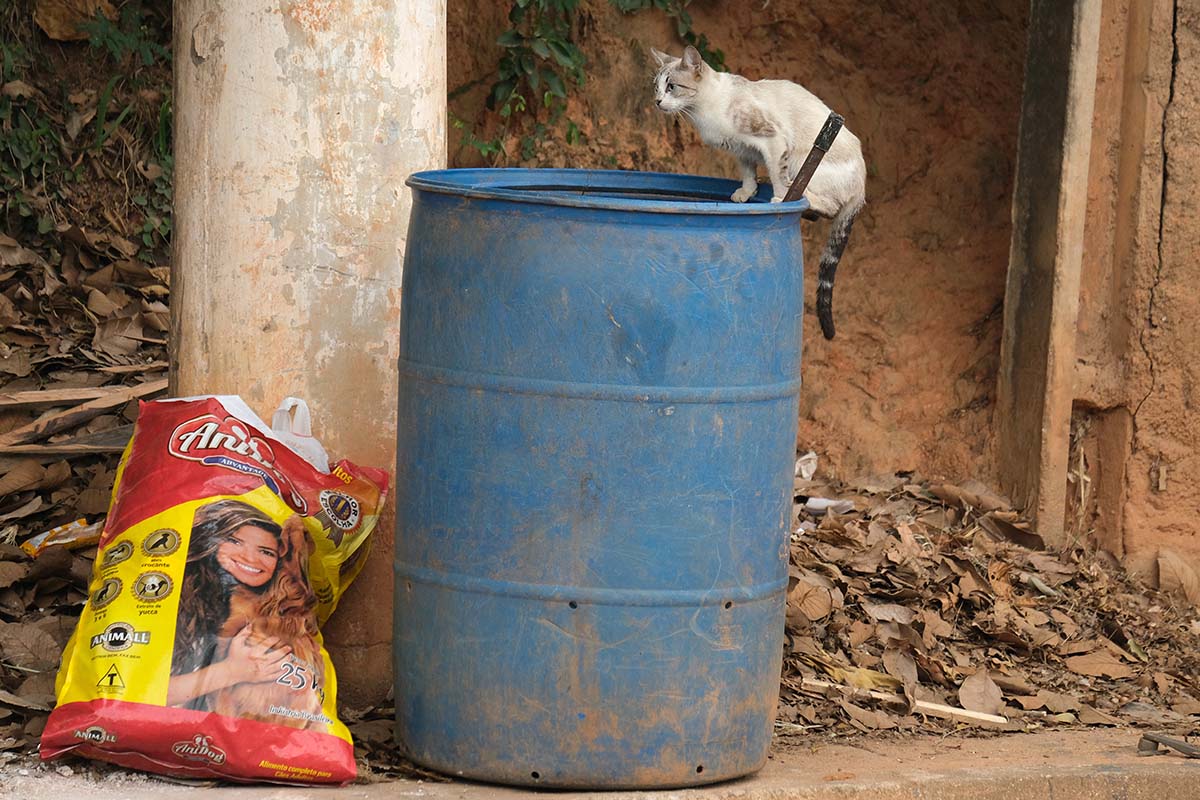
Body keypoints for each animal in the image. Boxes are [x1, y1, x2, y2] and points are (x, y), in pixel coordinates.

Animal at [652, 46, 868, 340]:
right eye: (655, 87)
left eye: (672, 87)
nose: (657, 101)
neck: (702, 114)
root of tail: (863, 185)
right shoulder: (742, 149)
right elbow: (747, 174)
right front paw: (745, 193)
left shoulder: (772, 139)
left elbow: (778, 175)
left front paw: (779, 199)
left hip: (801, 159)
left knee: (829, 205)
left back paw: (800, 196)